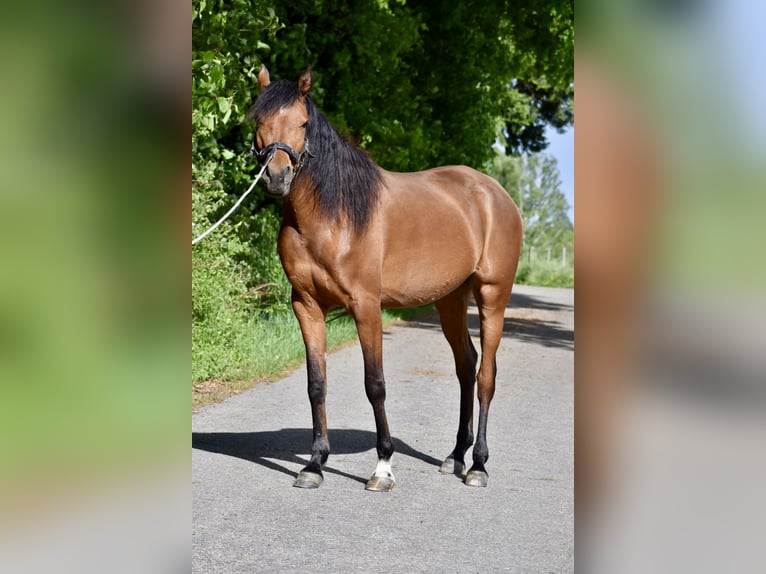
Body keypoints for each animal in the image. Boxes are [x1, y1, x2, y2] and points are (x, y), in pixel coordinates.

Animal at [248, 65, 522, 491]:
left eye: (303, 122)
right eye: (258, 120)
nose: (277, 177)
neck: (335, 214)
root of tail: (496, 194)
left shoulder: (366, 306)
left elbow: (374, 384)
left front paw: (382, 467)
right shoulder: (306, 305)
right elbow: (316, 383)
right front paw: (314, 464)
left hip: (493, 296)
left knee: (486, 375)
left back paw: (477, 465)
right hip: (450, 300)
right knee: (466, 366)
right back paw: (455, 456)